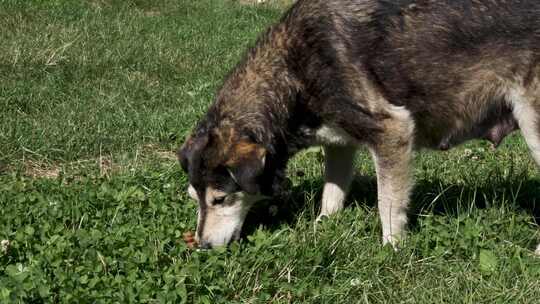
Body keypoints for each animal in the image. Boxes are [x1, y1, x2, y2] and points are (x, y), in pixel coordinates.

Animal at [178, 0, 540, 251]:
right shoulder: (339, 145)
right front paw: (321, 229)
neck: (292, 74)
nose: (203, 247)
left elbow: (388, 205)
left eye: (220, 200)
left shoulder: (393, 131)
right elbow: (331, 196)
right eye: (193, 197)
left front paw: (392, 250)